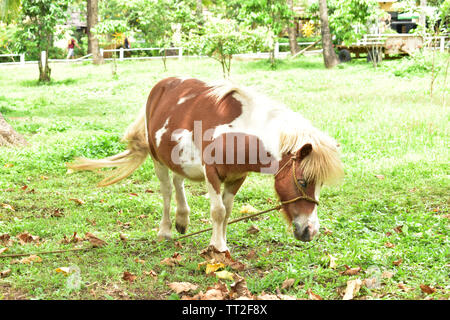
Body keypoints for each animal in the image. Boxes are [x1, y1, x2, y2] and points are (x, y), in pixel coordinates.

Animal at [68, 77, 342, 252]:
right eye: (303, 182)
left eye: (319, 186)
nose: (310, 231)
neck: (237, 132)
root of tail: (161, 86)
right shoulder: (212, 173)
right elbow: (218, 211)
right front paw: (217, 247)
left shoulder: (237, 178)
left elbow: (227, 212)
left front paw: (221, 241)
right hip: (158, 159)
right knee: (167, 191)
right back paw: (166, 229)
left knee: (179, 181)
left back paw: (182, 218)